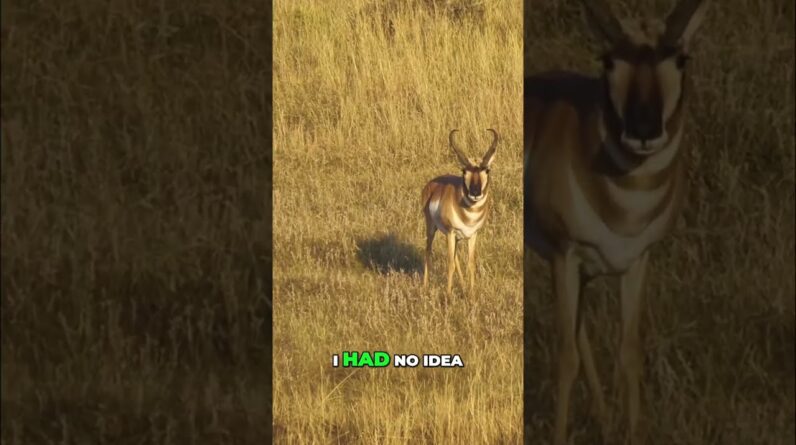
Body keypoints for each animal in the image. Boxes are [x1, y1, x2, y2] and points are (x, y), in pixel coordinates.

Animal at [422, 129, 498, 296]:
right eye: (464, 170)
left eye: (487, 170)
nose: (475, 193)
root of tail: (432, 184)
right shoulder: (451, 232)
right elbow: (450, 263)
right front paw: (449, 295)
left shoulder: (473, 235)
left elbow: (470, 263)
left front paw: (472, 294)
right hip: (432, 229)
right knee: (428, 250)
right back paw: (424, 287)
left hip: (456, 237)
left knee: (456, 256)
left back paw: (462, 286)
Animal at [524, 1, 709, 443]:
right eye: (608, 59)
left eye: (680, 58)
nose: (643, 130)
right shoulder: (565, 255)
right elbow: (566, 359)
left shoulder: (636, 262)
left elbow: (628, 355)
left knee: (582, 331)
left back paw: (605, 421)